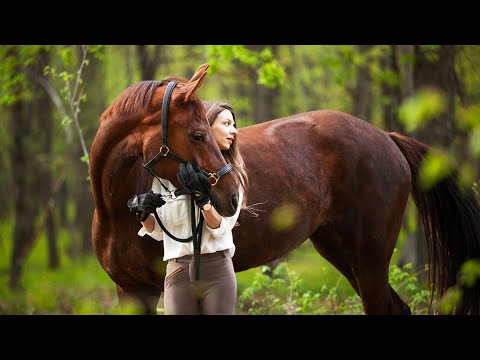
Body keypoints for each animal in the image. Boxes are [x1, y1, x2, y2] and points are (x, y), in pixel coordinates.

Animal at [90, 68, 480, 316]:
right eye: (198, 135)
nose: (232, 197)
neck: (116, 211)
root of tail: (386, 137)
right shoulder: (131, 291)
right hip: (343, 254)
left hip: (370, 260)